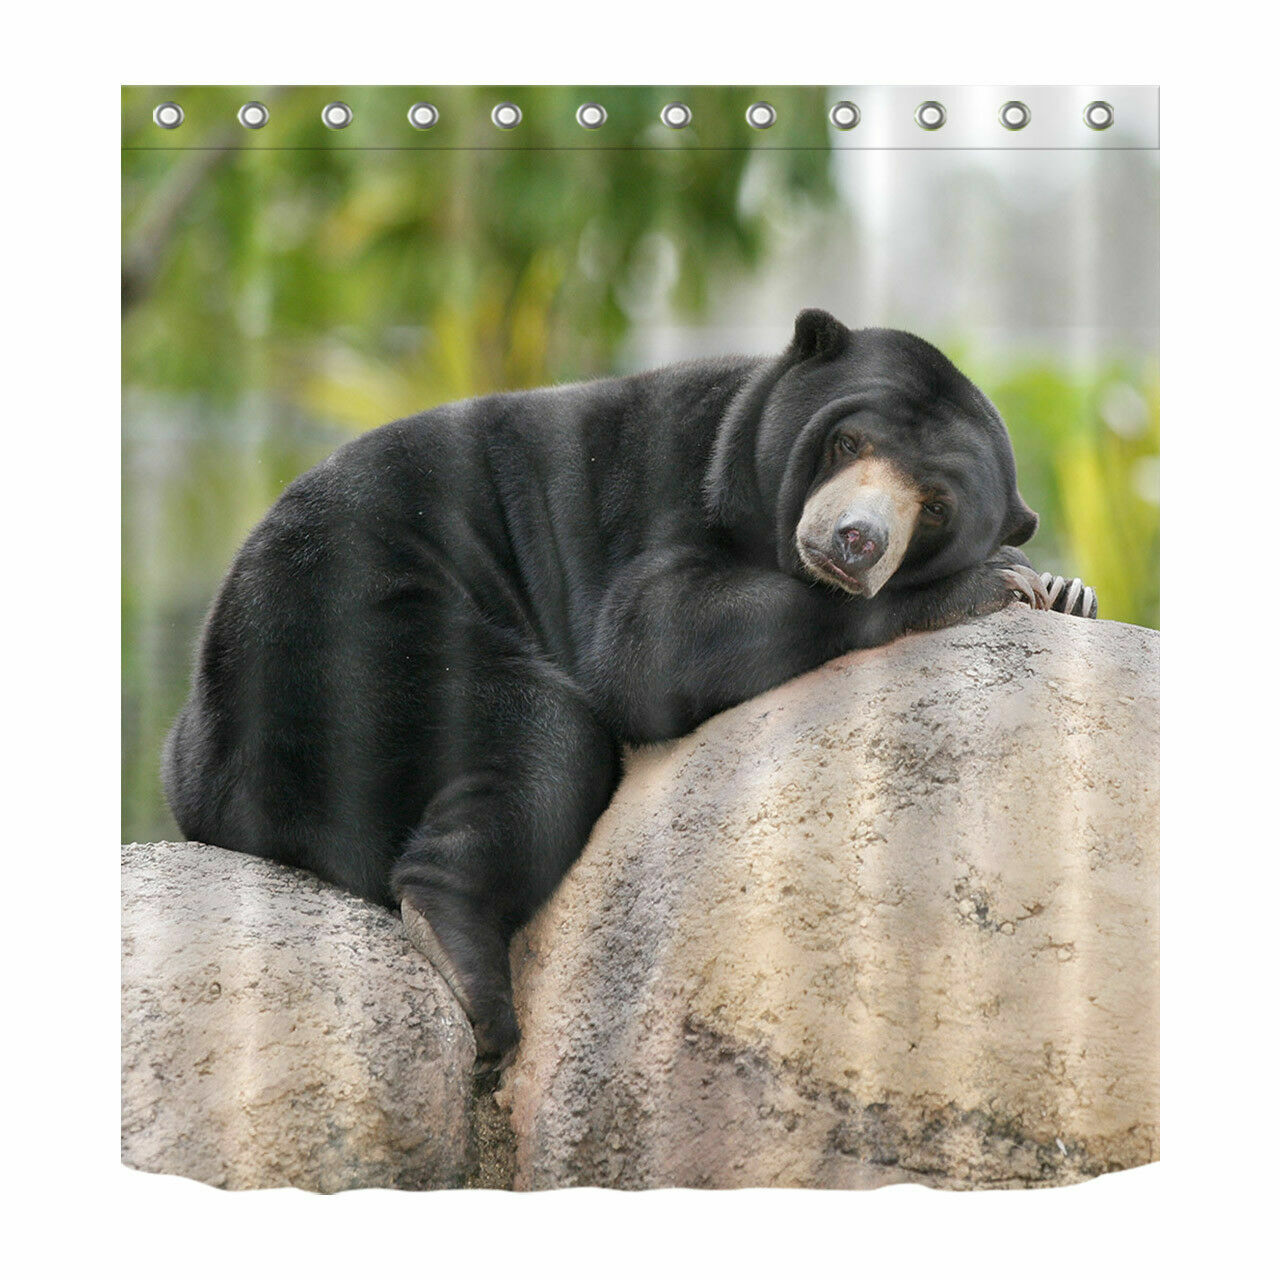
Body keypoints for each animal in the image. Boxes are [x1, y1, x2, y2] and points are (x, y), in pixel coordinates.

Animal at [162, 309, 1097, 1071]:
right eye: (848, 444)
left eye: (933, 505)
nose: (856, 541)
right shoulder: (666, 489)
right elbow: (648, 642)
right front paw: (992, 582)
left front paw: (1066, 590)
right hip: (350, 633)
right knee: (544, 737)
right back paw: (469, 969)